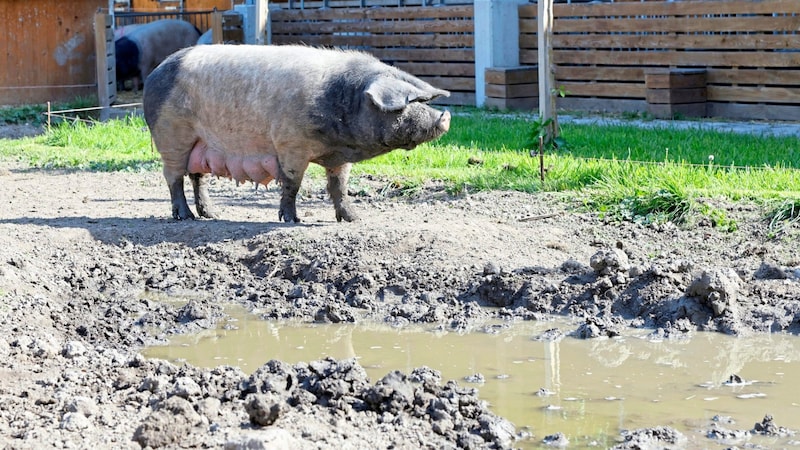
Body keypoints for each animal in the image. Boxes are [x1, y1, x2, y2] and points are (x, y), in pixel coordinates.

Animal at [143, 44, 450, 223]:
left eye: (423, 101)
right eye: (406, 104)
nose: (444, 117)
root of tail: (153, 74)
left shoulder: (339, 158)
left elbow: (339, 186)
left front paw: (353, 218)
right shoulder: (291, 145)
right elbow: (292, 184)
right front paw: (292, 220)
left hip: (202, 144)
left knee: (198, 177)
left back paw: (211, 214)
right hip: (172, 136)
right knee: (174, 178)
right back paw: (185, 217)